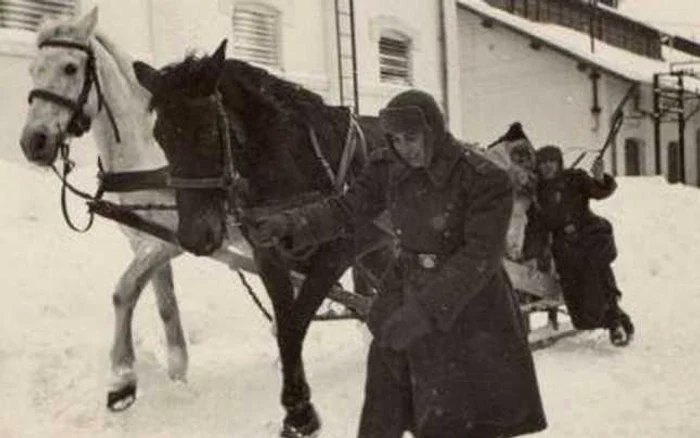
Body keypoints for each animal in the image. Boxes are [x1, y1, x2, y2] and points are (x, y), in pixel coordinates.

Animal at [19, 6, 194, 410]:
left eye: (71, 67)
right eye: (33, 68)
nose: (33, 141)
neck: (152, 152)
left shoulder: (173, 238)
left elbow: (123, 290)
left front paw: (122, 377)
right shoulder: (145, 240)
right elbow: (164, 303)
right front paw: (177, 374)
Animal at [133, 39, 392, 436]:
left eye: (207, 133)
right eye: (161, 137)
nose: (194, 237)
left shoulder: (339, 251)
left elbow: (294, 323)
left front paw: (299, 412)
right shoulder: (268, 256)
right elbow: (286, 323)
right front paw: (297, 408)